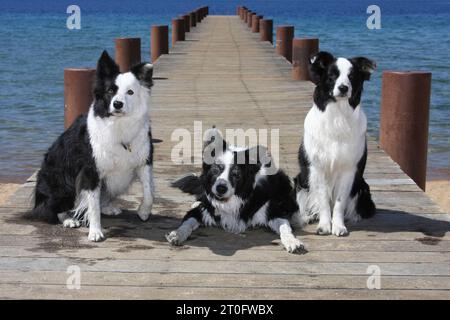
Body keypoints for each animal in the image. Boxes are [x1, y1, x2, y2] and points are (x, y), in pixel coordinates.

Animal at [29, 50, 155, 241]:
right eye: (110, 91)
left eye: (130, 92)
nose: (117, 104)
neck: (119, 125)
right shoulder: (90, 171)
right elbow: (93, 206)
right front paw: (95, 231)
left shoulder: (143, 160)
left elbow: (149, 193)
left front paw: (143, 212)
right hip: (61, 184)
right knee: (53, 209)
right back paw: (69, 219)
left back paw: (108, 207)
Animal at [165, 129, 306, 254]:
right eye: (216, 169)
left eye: (236, 175)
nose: (221, 188)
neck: (231, 201)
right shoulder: (200, 211)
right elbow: (186, 223)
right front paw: (177, 234)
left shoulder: (273, 212)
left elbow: (285, 228)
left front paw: (292, 242)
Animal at [296, 51, 376, 236]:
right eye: (332, 75)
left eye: (352, 76)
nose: (343, 88)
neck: (338, 115)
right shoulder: (317, 168)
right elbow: (324, 201)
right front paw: (325, 226)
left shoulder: (348, 169)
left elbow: (339, 203)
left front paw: (338, 226)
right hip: (300, 182)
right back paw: (308, 217)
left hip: (363, 187)